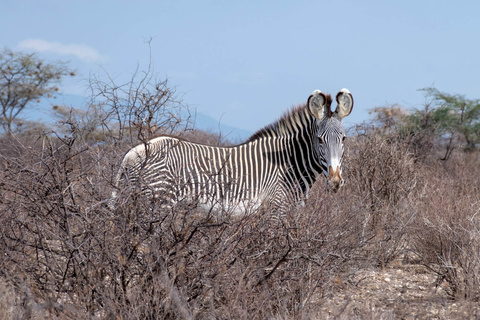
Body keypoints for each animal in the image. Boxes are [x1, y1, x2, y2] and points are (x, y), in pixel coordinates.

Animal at [112, 89, 352, 214]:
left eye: (343, 139)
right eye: (319, 140)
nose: (335, 181)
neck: (289, 163)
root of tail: (130, 154)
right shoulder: (276, 207)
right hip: (157, 202)